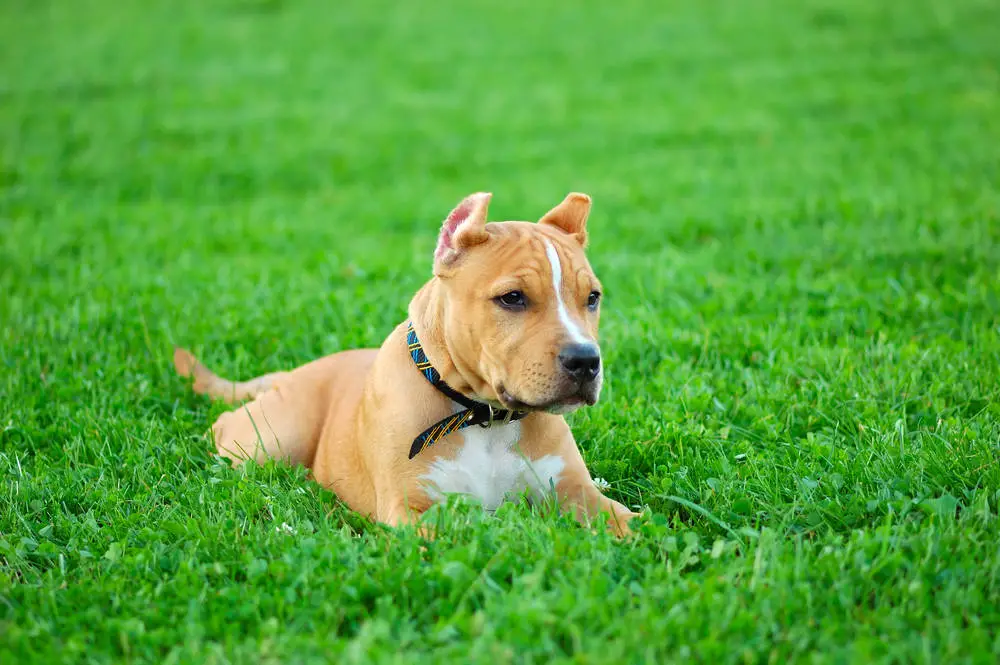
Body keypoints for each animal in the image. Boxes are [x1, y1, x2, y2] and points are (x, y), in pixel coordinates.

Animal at [175, 191, 636, 536]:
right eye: (512, 298)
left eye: (592, 297)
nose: (585, 360)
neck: (482, 417)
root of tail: (289, 374)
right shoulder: (411, 509)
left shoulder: (578, 492)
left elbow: (634, 523)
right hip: (271, 439)